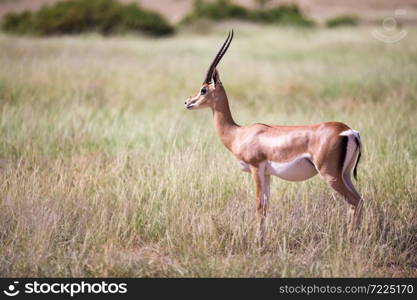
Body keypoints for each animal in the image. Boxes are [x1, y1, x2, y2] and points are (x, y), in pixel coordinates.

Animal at [184, 30, 362, 243]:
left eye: (203, 89)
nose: (187, 102)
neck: (238, 133)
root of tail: (349, 131)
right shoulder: (268, 174)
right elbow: (267, 205)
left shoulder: (256, 169)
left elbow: (259, 205)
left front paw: (258, 242)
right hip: (345, 174)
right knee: (360, 200)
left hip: (330, 175)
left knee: (354, 201)